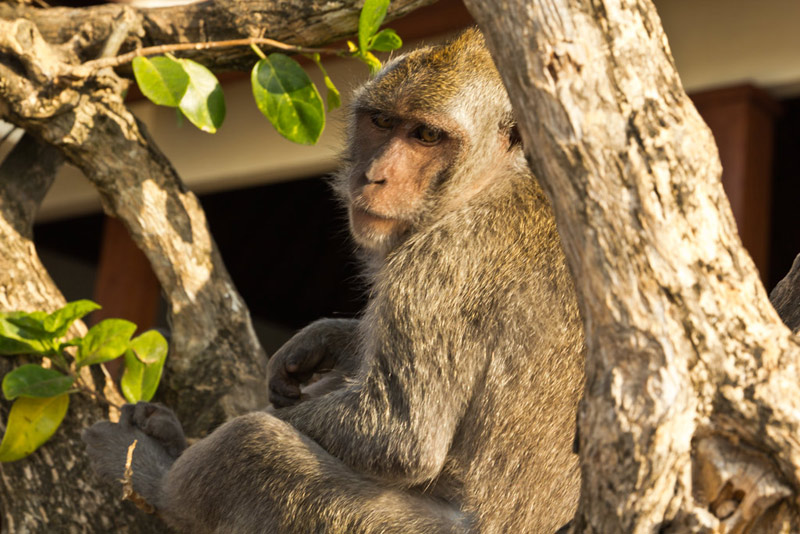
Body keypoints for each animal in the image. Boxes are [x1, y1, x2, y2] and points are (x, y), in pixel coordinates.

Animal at [83, 30, 580, 534]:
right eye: (382, 122)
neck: (488, 182)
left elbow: (397, 437)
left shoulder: (441, 263)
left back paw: (158, 480)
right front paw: (323, 340)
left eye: (426, 135)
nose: (374, 176)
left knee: (251, 442)